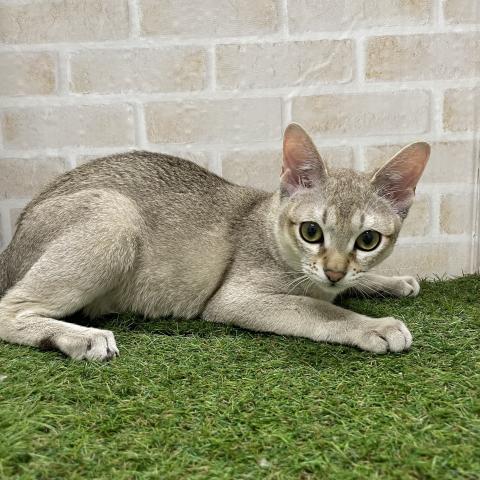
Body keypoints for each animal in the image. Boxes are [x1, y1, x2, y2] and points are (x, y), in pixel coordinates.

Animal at [0, 123, 430, 361]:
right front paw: (376, 327)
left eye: (368, 240)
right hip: (115, 214)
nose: (335, 272)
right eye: (311, 232)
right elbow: (323, 310)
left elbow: (342, 291)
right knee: (9, 309)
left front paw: (393, 281)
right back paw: (80, 338)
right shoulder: (237, 298)